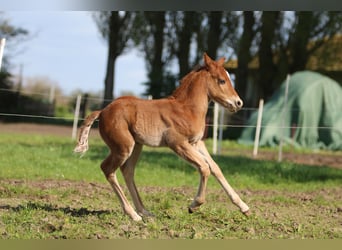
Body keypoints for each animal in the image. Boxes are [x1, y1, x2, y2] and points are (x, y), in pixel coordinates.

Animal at [75, 53, 250, 221]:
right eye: (222, 80)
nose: (239, 103)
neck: (187, 108)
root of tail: (103, 111)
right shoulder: (178, 143)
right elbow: (204, 167)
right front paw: (194, 205)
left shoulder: (197, 143)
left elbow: (215, 168)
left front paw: (244, 207)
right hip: (123, 147)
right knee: (107, 168)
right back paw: (133, 215)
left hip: (136, 145)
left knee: (127, 170)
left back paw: (144, 212)